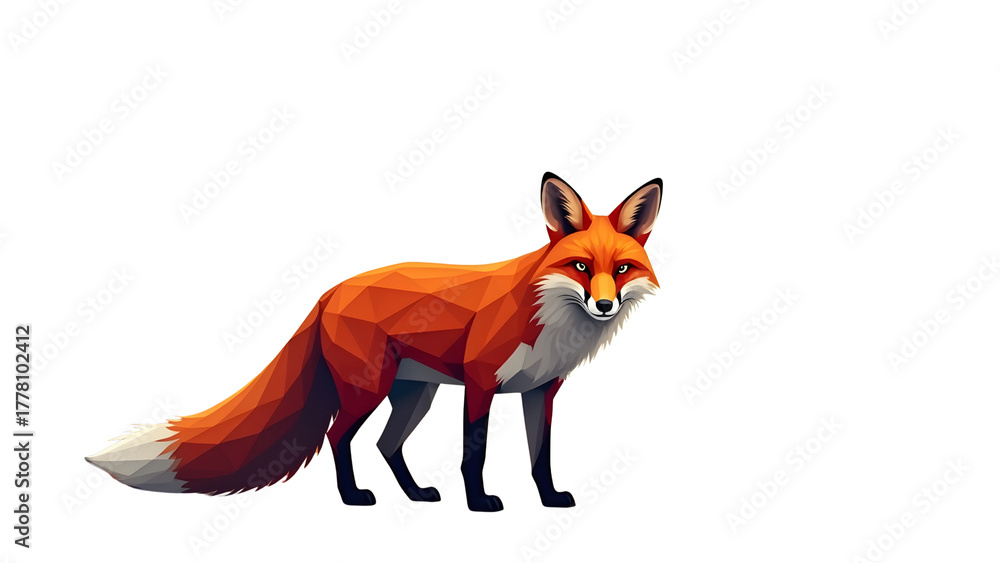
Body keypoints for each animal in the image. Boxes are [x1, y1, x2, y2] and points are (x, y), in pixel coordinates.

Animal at [87, 172, 661, 512]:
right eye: (581, 266)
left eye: (622, 269)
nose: (604, 305)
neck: (545, 312)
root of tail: (330, 290)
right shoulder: (480, 385)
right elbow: (473, 454)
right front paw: (479, 502)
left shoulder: (539, 392)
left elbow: (541, 456)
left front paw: (549, 499)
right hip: (370, 388)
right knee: (339, 436)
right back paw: (353, 496)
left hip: (414, 394)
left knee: (387, 444)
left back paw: (415, 494)